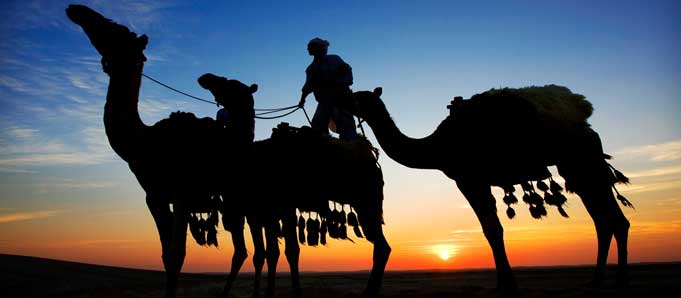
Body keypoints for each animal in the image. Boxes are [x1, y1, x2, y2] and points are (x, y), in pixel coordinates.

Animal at [66, 4, 390, 298]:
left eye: (116, 30)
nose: (76, 10)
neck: (144, 141)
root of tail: (371, 157)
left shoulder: (190, 193)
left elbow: (180, 254)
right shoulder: (157, 197)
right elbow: (170, 255)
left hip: (361, 199)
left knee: (376, 246)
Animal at [350, 86, 632, 296]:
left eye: (358, 97)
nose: (342, 98)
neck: (436, 146)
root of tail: (589, 128)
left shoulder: (469, 179)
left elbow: (492, 230)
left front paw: (509, 285)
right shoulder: (476, 181)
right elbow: (492, 229)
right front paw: (502, 283)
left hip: (583, 160)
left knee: (615, 220)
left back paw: (620, 280)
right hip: (576, 169)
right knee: (603, 220)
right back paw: (597, 280)